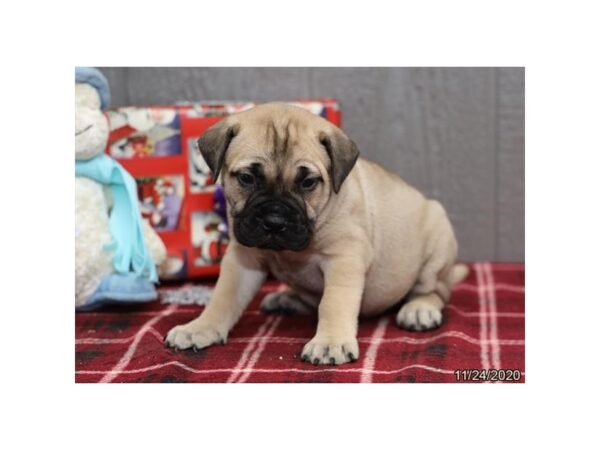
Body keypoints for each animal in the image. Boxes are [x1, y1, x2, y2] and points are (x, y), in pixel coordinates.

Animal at [165, 103, 468, 366]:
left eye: (308, 182)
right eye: (247, 179)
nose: (275, 221)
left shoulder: (343, 259)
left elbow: (332, 303)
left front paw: (330, 342)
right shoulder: (243, 259)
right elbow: (223, 297)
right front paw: (200, 327)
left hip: (436, 249)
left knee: (436, 292)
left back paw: (419, 309)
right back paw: (287, 299)